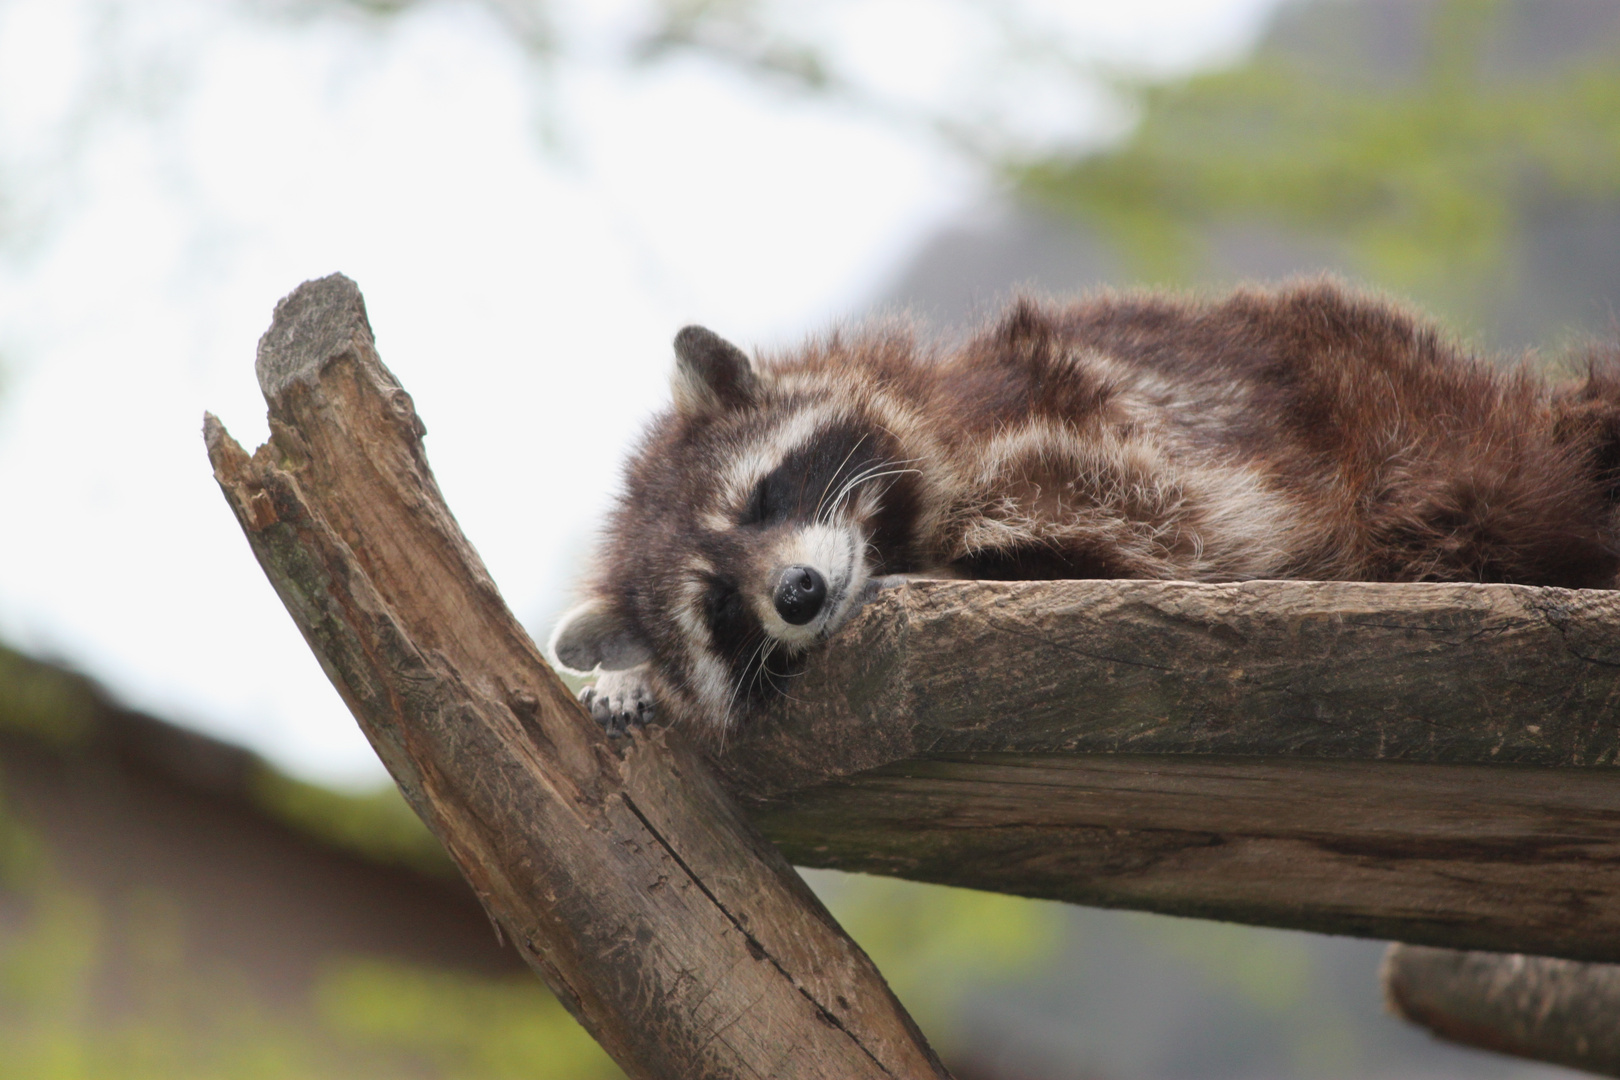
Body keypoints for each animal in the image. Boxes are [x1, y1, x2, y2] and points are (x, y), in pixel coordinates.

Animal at [547, 278, 1620, 738]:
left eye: (763, 496)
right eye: (719, 607)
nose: (801, 593)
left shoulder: (1082, 440)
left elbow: (1164, 525)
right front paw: (627, 676)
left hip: (1407, 426)